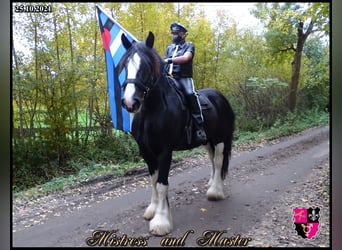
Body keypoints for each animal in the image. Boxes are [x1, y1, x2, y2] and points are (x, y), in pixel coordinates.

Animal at [118, 31, 235, 236]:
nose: (130, 102)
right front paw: (153, 210)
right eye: (125, 65)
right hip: (207, 141)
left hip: (220, 139)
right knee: (212, 160)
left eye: (146, 67)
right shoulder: (146, 151)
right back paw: (211, 184)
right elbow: (153, 180)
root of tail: (220, 97)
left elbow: (161, 184)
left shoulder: (165, 151)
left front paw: (161, 221)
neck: (152, 110)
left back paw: (215, 192)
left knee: (219, 161)